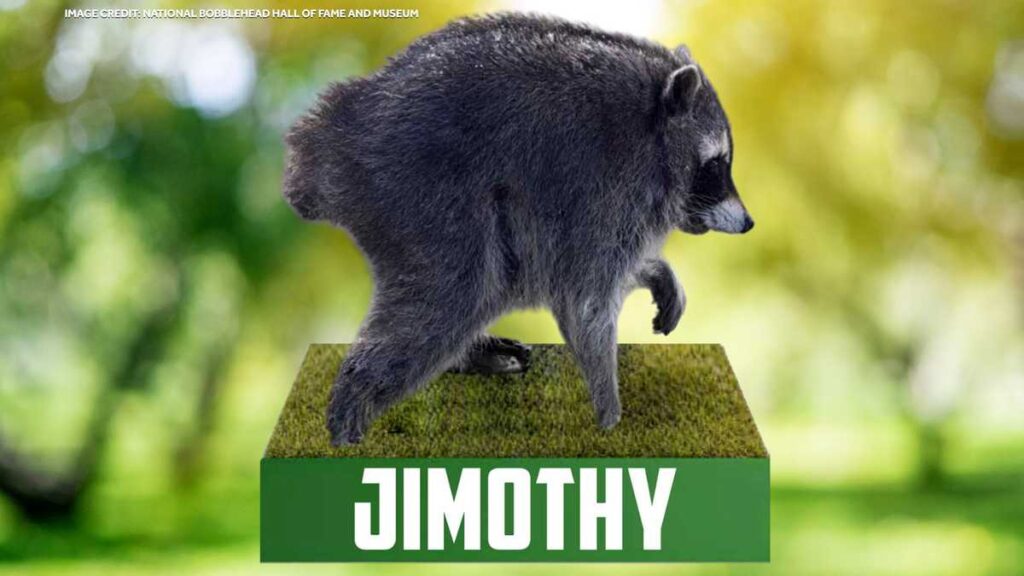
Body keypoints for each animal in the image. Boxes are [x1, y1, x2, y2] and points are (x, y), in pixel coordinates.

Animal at [283, 13, 754, 445]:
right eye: (716, 165)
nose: (749, 222)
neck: (653, 123)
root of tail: (335, 132)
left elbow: (599, 275)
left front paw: (657, 271)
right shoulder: (605, 186)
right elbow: (585, 300)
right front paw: (609, 415)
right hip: (421, 192)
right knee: (451, 293)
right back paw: (351, 406)